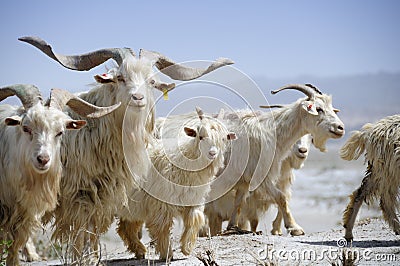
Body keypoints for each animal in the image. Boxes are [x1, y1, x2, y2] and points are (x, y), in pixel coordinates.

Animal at [18, 36, 233, 260]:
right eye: (120, 77)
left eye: (151, 82)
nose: (138, 98)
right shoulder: (78, 194)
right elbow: (81, 230)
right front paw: (83, 258)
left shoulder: (100, 195)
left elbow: (92, 229)